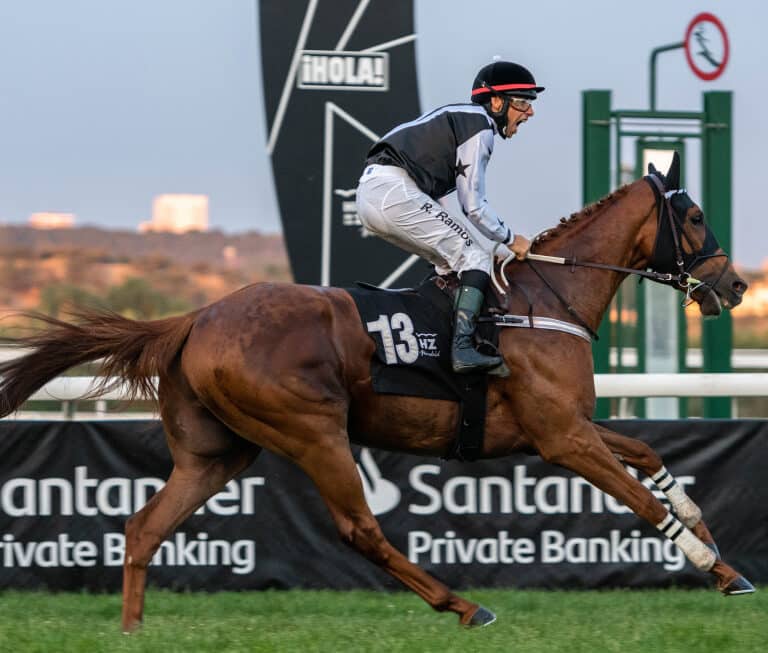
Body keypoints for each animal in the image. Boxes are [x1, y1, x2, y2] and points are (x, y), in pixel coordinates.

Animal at [0, 155, 752, 628]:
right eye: (693, 217)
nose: (737, 284)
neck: (545, 298)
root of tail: (198, 317)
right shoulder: (561, 438)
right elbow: (638, 497)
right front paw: (712, 563)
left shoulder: (564, 427)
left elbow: (650, 458)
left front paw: (711, 539)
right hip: (313, 431)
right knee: (360, 528)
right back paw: (465, 605)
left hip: (219, 453)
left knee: (146, 525)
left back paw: (132, 629)